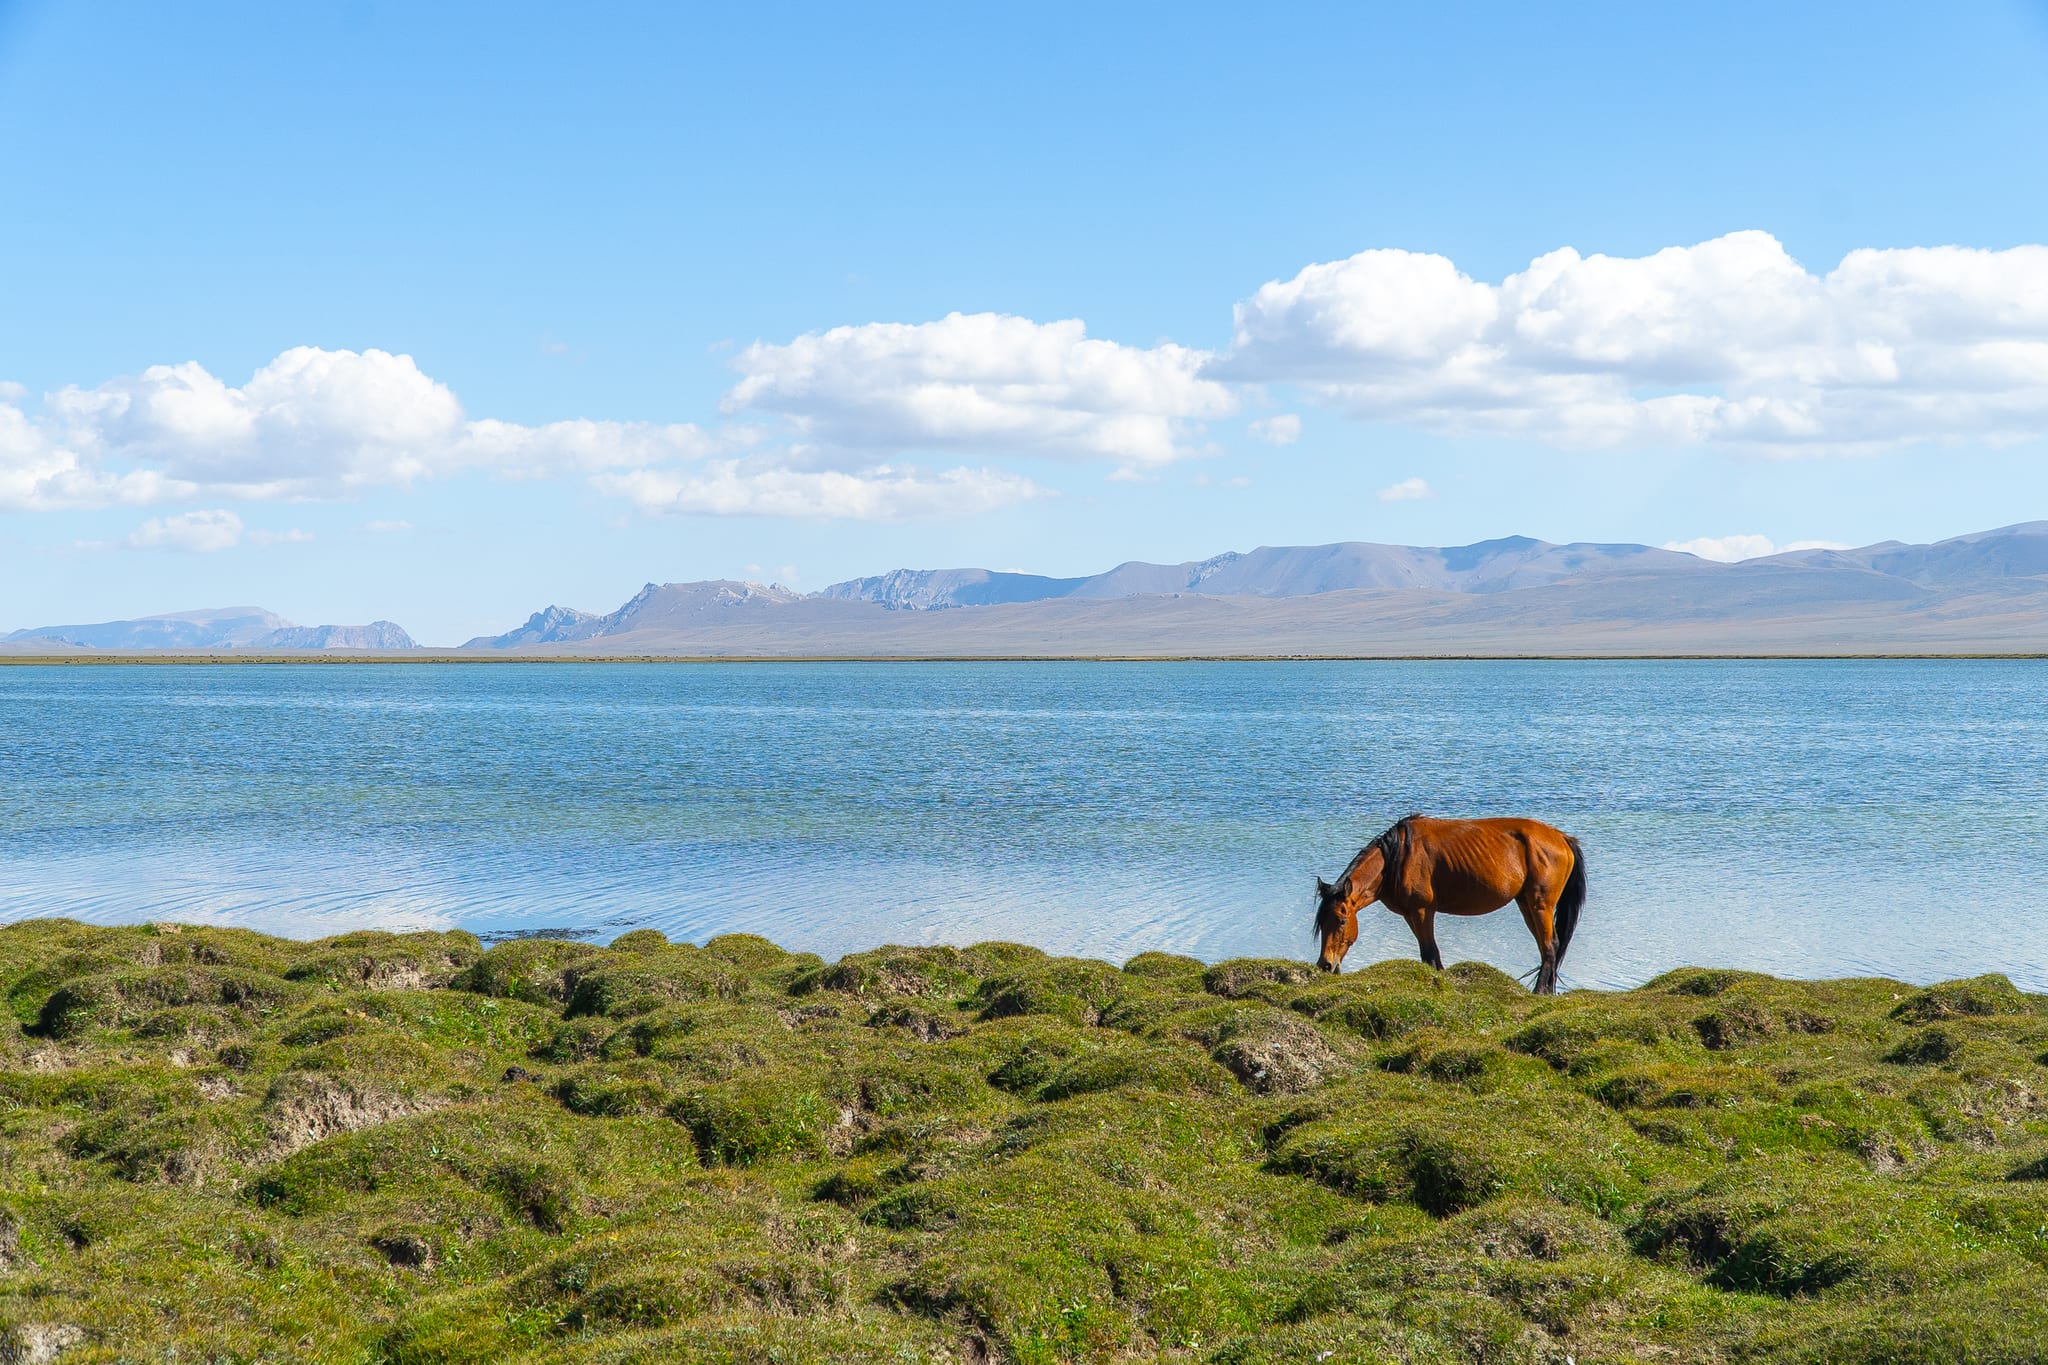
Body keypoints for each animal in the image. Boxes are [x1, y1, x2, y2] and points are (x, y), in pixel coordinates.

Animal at [1312, 814, 1586, 993]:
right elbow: (1428, 954)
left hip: (1541, 904)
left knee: (1550, 946)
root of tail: (1562, 838)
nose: (1325, 965)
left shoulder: (1422, 911)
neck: (1398, 859)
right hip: (1526, 903)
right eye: (1321, 923)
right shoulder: (1411, 914)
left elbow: (1429, 951)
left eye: (1342, 920)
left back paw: (1540, 992)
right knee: (1548, 946)